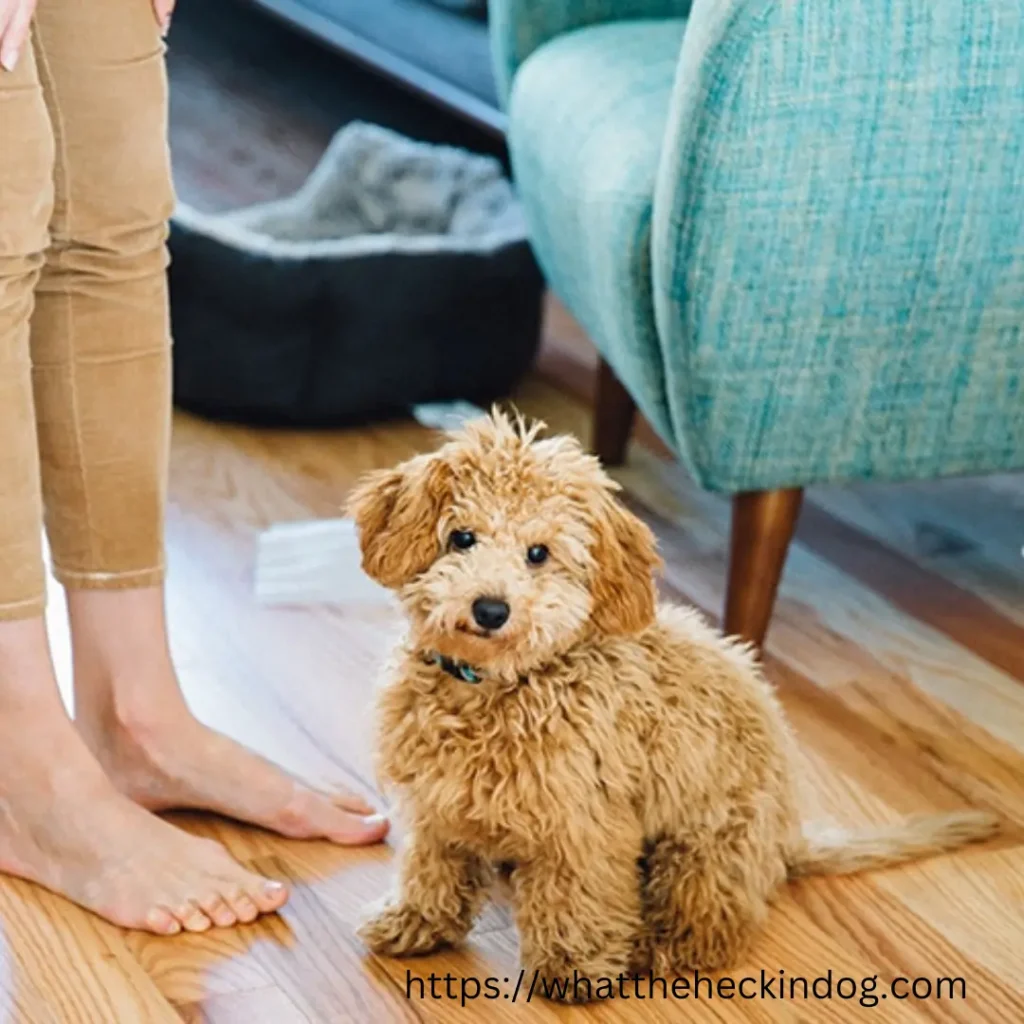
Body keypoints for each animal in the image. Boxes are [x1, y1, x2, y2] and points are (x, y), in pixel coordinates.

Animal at [350, 407, 999, 999]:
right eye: (462, 537)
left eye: (539, 554)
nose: (490, 608)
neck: (492, 687)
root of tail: (786, 839)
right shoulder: (436, 804)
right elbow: (430, 869)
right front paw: (414, 923)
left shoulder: (585, 822)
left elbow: (576, 894)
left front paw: (573, 966)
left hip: (701, 846)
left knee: (714, 923)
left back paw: (658, 947)